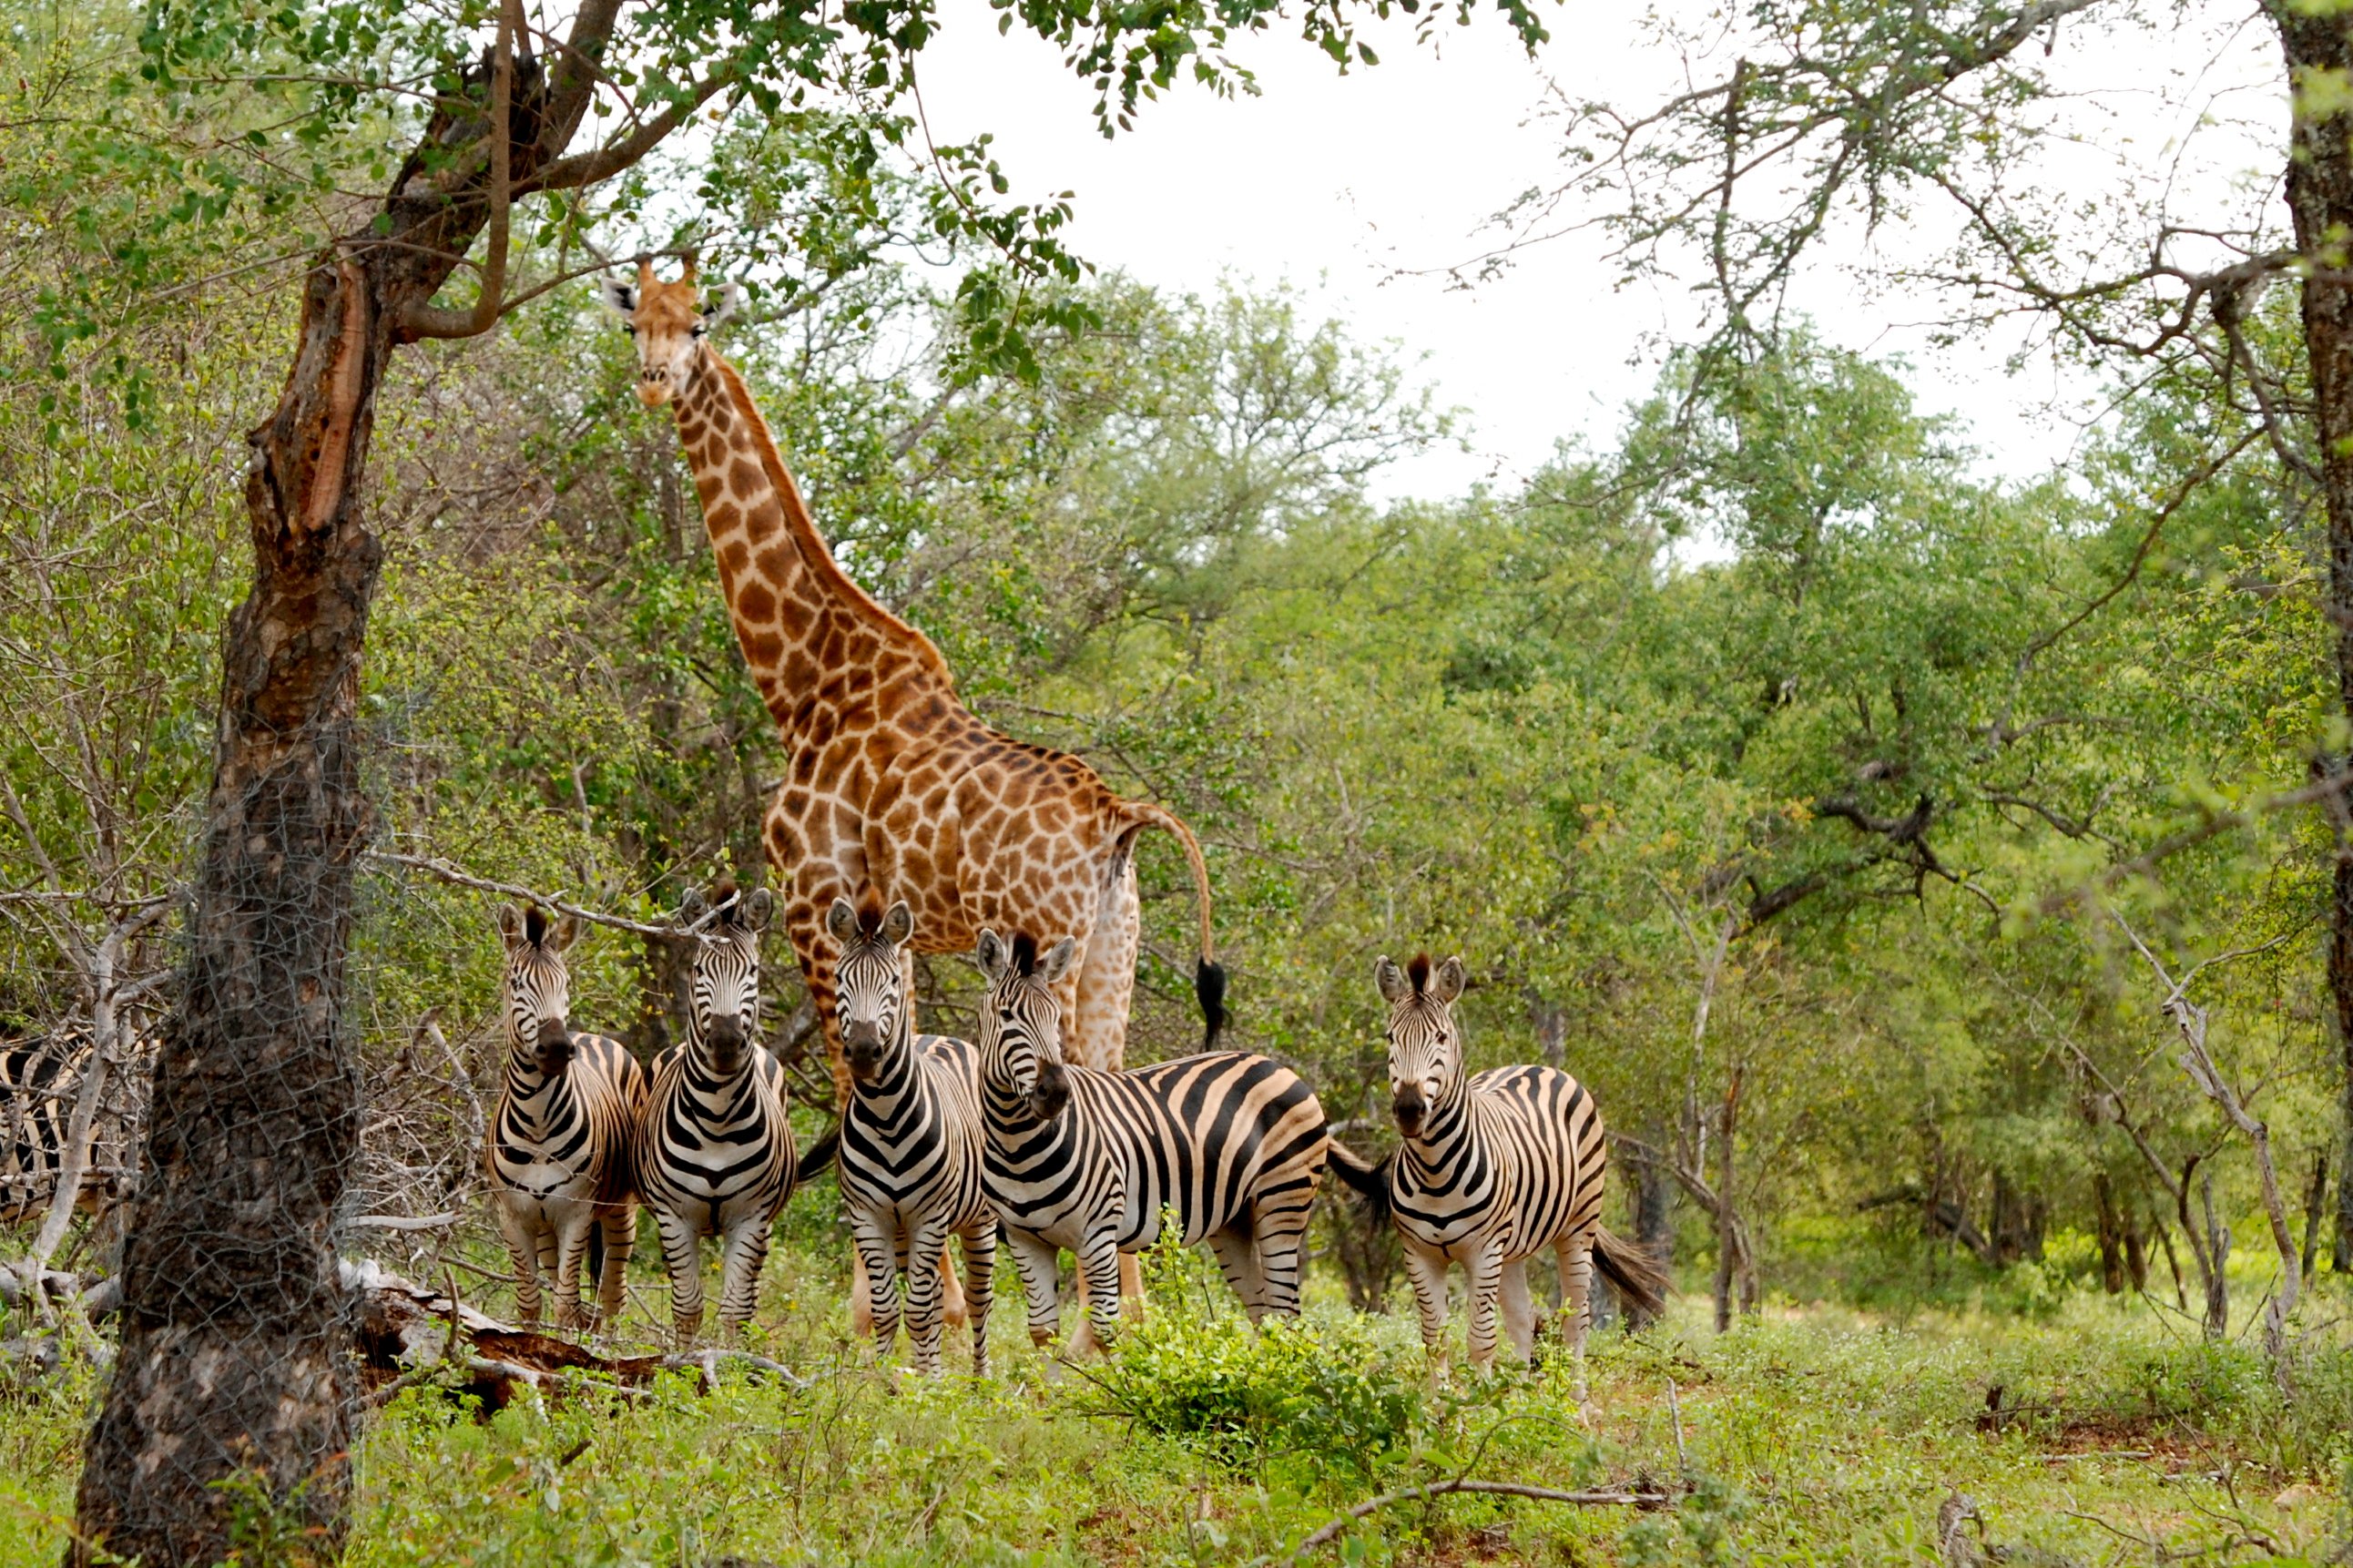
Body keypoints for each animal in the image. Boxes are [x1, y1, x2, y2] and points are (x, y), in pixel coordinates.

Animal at [484, 903, 647, 1331]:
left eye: (565, 982)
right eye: (516, 983)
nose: (557, 1047)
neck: (537, 1123)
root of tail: (594, 1036)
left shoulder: (577, 1211)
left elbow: (565, 1304)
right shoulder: (512, 1216)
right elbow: (529, 1303)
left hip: (621, 1211)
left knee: (614, 1296)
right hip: (545, 1225)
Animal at [636, 878, 801, 1341]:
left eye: (753, 971)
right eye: (698, 971)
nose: (726, 1043)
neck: (717, 1117)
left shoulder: (750, 1217)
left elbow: (734, 1309)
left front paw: (732, 1361)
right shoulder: (673, 1216)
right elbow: (688, 1306)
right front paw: (685, 1358)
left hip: (765, 1225)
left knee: (751, 1295)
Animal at [825, 894, 996, 1374]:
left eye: (893, 982)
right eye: (839, 978)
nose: (865, 1052)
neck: (886, 1117)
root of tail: (939, 1036)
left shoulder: (930, 1215)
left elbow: (918, 1309)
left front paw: (928, 1383)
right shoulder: (869, 1216)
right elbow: (886, 1308)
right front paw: (885, 1382)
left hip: (978, 1220)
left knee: (978, 1299)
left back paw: (978, 1378)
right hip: (903, 1230)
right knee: (935, 1293)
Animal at [973, 927, 1329, 1354]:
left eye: (1056, 1017)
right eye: (1006, 1016)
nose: (1056, 1093)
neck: (1017, 1145)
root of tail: (1275, 1065)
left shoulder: (1098, 1234)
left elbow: (1105, 1331)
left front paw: (1120, 1376)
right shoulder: (1025, 1240)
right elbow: (1044, 1334)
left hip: (1283, 1202)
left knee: (1287, 1314)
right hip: (1235, 1220)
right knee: (1267, 1316)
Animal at [1327, 953, 1668, 1389]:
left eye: (1441, 1038)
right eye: (1390, 1037)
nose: (1409, 1109)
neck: (1434, 1170)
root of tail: (1537, 1067)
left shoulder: (1484, 1251)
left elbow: (1480, 1340)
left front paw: (1479, 1404)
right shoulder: (1419, 1254)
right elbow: (1435, 1340)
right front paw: (1446, 1407)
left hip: (1578, 1226)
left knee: (1577, 1321)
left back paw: (1577, 1404)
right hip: (1514, 1245)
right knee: (1523, 1318)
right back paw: (1519, 1397)